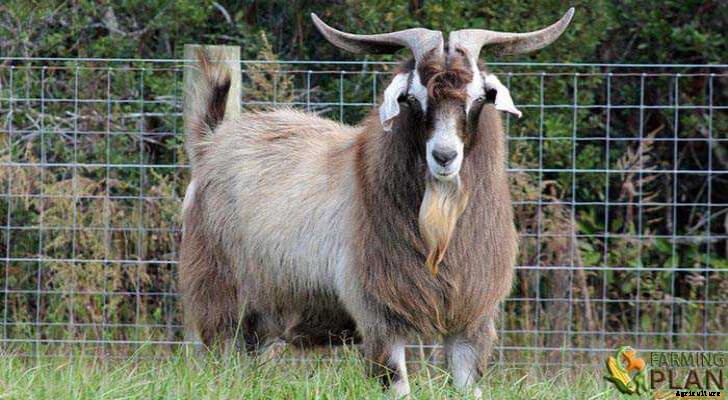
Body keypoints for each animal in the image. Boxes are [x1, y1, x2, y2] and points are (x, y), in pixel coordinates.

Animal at [180, 9, 574, 397]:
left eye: (479, 97)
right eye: (412, 98)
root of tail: (211, 142)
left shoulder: (470, 322)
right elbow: (397, 383)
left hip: (265, 315)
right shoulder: (379, 317)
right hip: (219, 297)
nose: (444, 156)